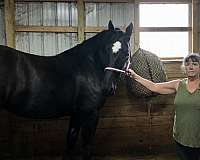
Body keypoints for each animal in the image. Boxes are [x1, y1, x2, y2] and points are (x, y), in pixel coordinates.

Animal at [0, 20, 133, 159]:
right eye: (106, 50)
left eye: (126, 54)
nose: (107, 87)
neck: (89, 67)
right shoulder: (90, 113)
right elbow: (86, 147)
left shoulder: (76, 113)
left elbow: (71, 141)